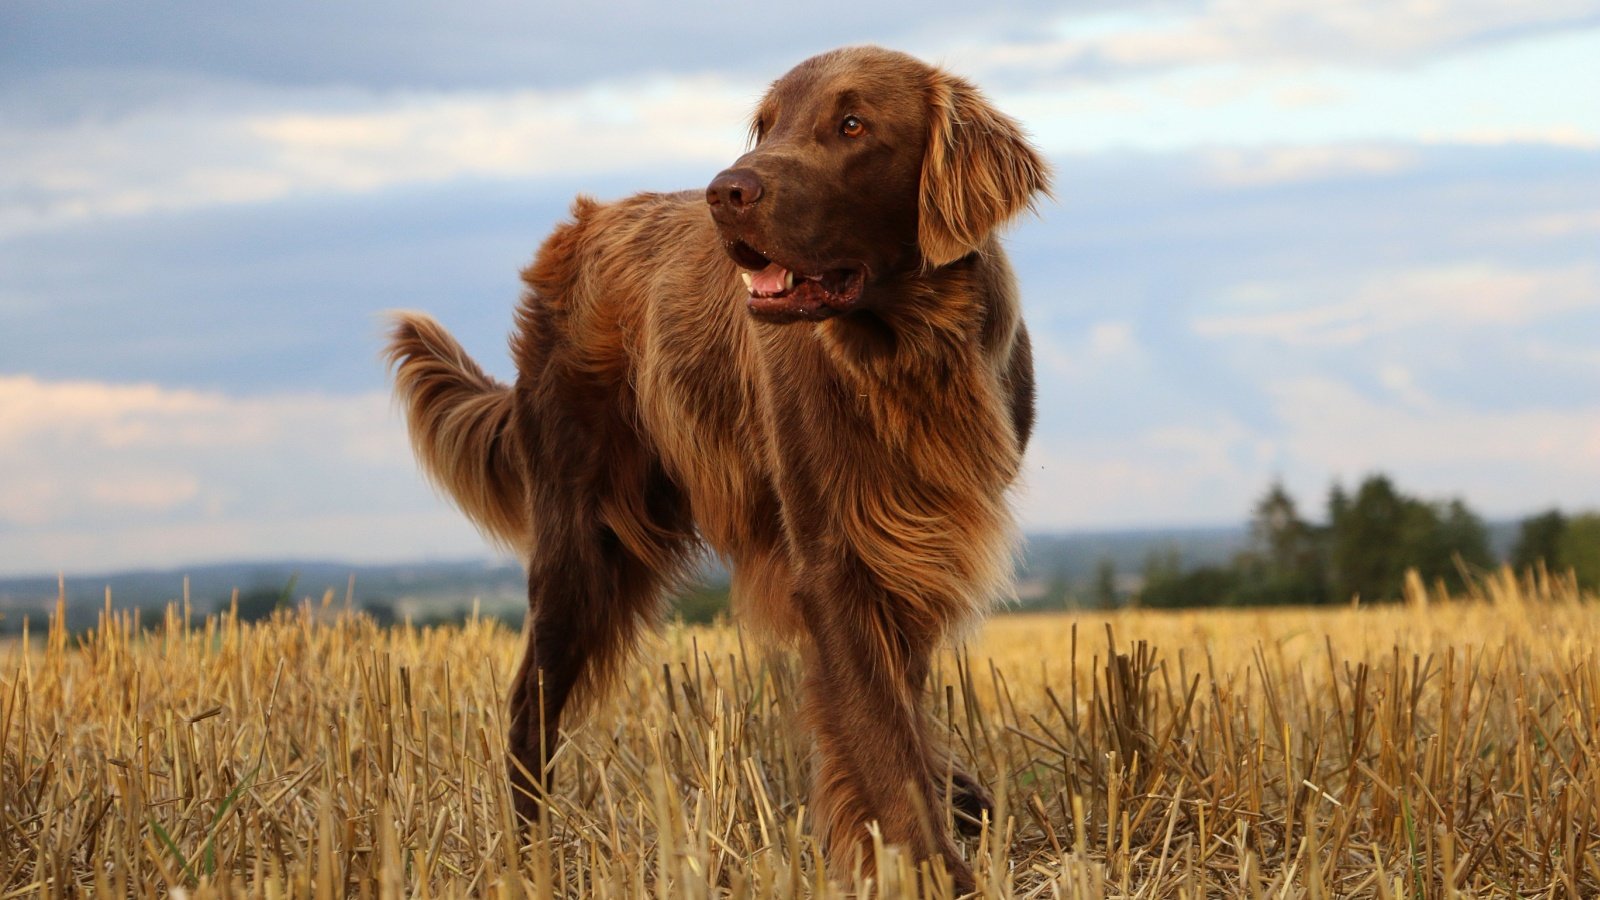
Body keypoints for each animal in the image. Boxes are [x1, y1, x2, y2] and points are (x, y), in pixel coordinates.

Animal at [387, 47, 1049, 883]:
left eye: (852, 124)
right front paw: (932, 869)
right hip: (579, 545)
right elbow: (882, 736)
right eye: (764, 126)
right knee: (528, 712)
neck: (904, 356)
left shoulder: (915, 547)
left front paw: (927, 815)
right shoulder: (834, 558)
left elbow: (893, 715)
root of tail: (581, 223)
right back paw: (527, 856)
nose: (724, 193)